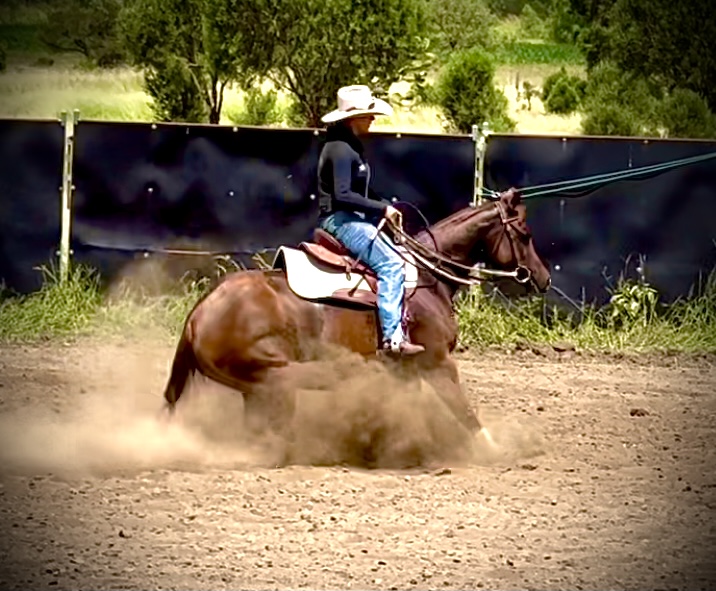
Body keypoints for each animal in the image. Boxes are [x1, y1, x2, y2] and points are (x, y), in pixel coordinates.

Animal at [161, 188, 551, 454]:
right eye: (525, 234)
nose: (543, 278)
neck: (427, 277)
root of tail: (198, 314)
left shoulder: (407, 370)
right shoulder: (438, 362)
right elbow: (465, 412)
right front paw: (495, 451)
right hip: (271, 374)